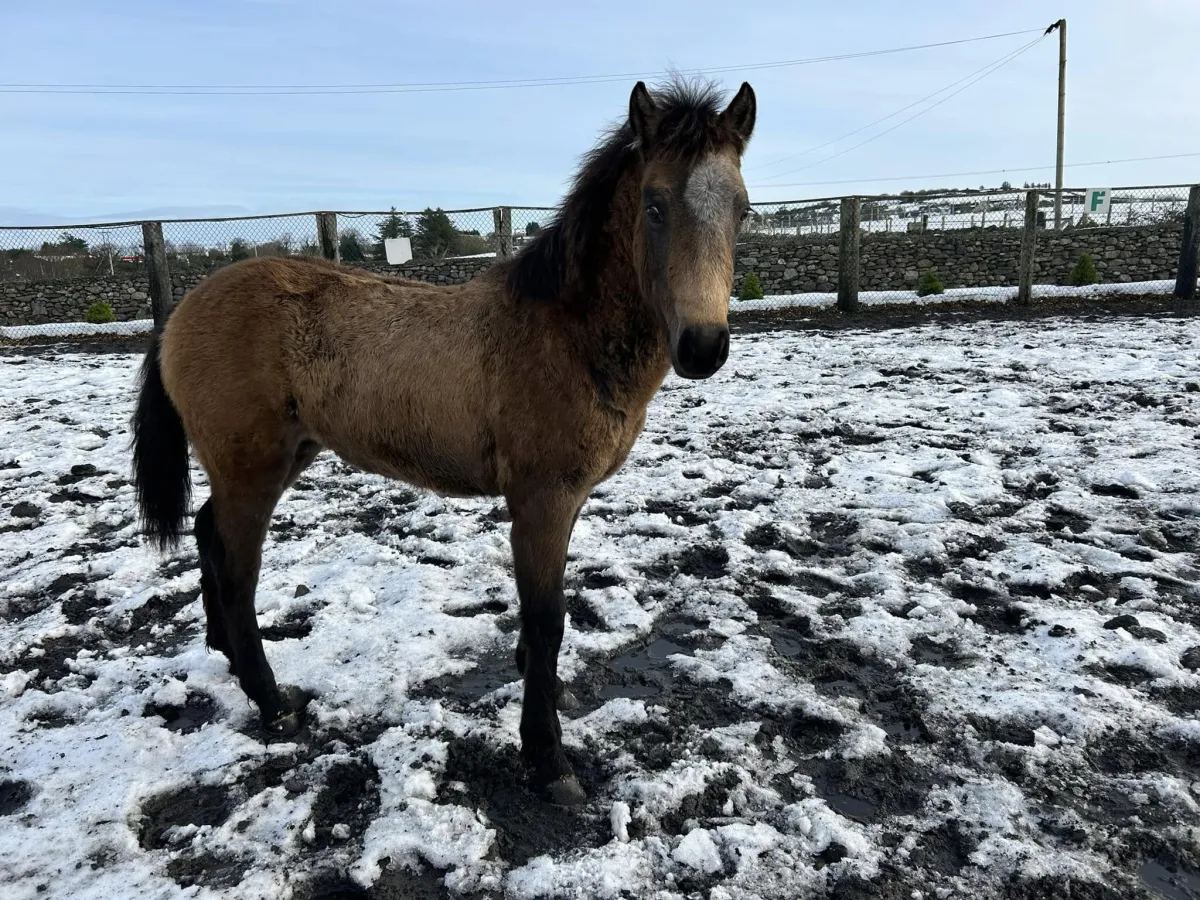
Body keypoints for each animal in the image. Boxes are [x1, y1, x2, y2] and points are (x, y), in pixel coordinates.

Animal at [131, 78, 756, 805]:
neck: (565, 333)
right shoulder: (540, 501)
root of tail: (182, 310)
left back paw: (227, 659)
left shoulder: (567, 501)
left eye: (742, 210)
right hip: (252, 469)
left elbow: (543, 619)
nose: (703, 347)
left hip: (278, 458)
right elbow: (546, 618)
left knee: (207, 533)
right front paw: (547, 758)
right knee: (238, 573)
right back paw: (272, 701)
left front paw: (550, 699)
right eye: (654, 206)